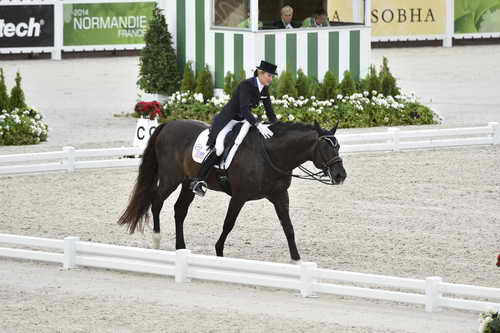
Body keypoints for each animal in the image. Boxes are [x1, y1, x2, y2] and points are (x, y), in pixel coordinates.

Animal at [117, 119, 346, 262]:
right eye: (325, 148)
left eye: (338, 146)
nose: (340, 175)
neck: (270, 155)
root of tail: (168, 124)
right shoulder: (239, 196)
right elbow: (228, 224)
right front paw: (219, 252)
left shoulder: (280, 196)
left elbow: (288, 228)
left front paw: (296, 261)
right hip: (169, 179)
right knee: (156, 202)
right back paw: (157, 240)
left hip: (188, 183)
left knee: (179, 210)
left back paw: (181, 248)